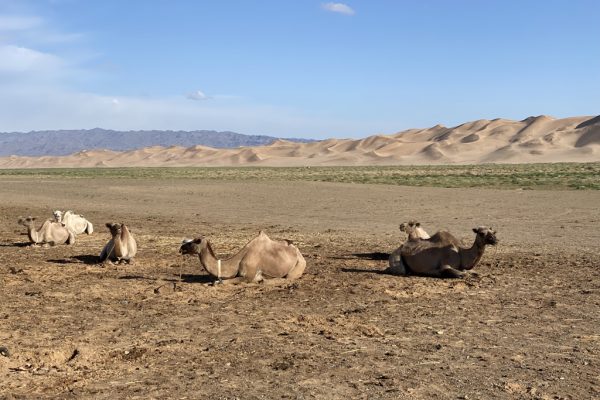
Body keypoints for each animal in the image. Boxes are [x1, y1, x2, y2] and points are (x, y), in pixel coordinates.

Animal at [179, 230, 308, 282]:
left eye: (194, 241)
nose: (181, 248)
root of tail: (299, 253)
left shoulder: (247, 276)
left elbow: (220, 282)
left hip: (298, 266)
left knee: (287, 278)